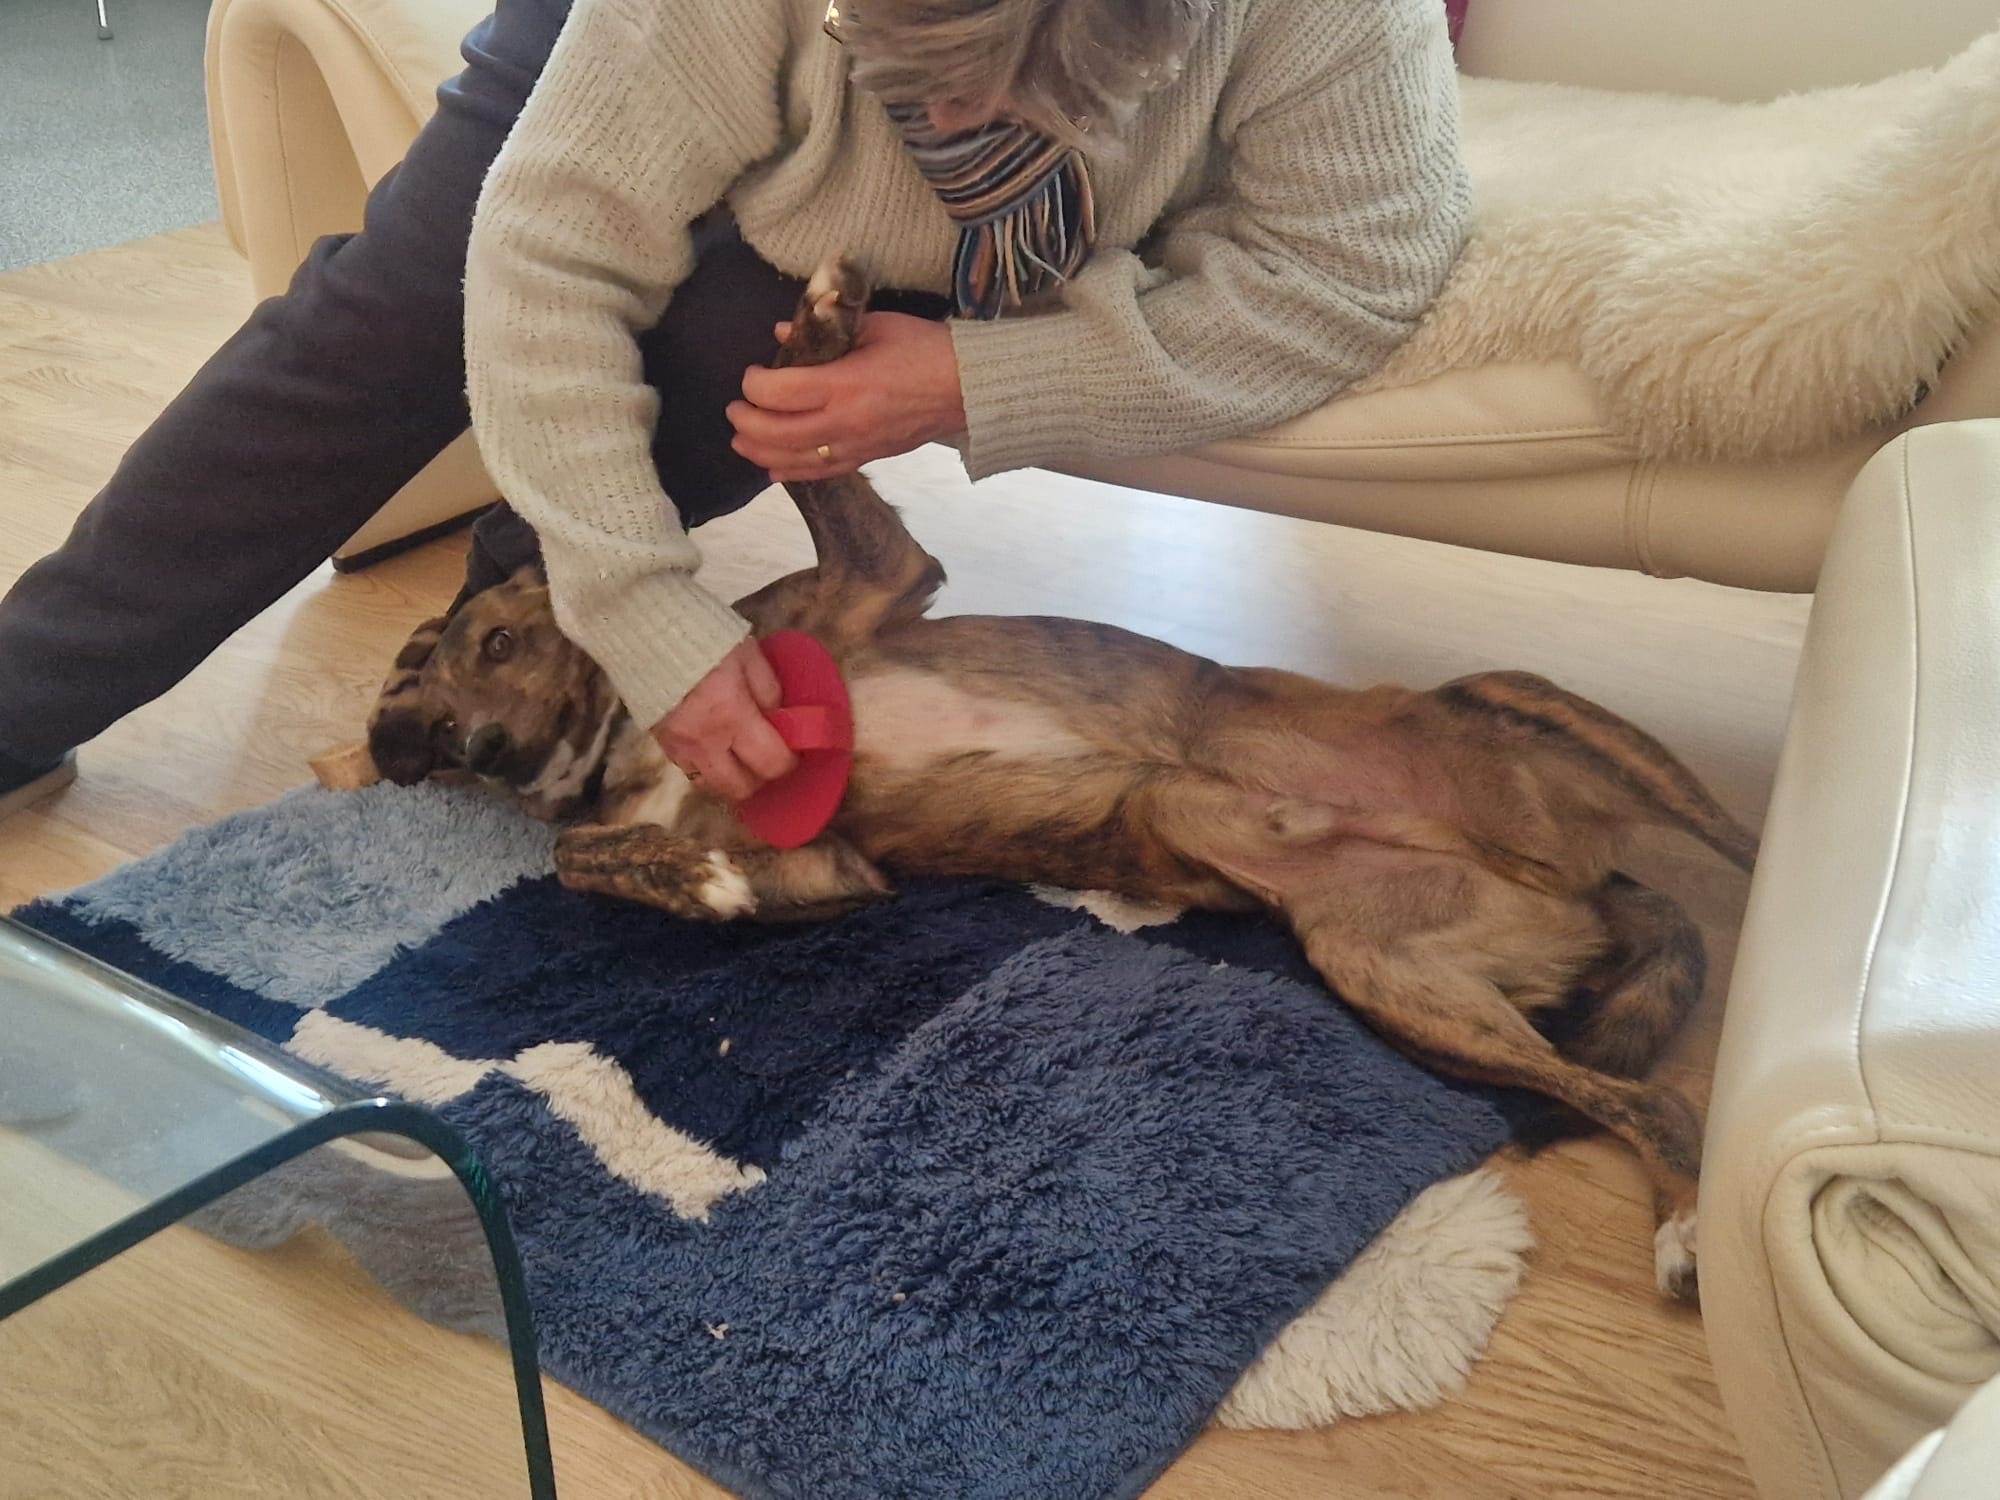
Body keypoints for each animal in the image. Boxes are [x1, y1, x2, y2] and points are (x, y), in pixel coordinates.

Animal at [362, 258, 1756, 1300]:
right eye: (425, 724)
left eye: (495, 645)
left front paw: (819, 333)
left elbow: (817, 468)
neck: (638, 738)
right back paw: (1687, 1218)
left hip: (1528, 716)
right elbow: (586, 856)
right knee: (1647, 1102)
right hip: (1394, 980)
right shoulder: (826, 867)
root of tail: (1585, 885)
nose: (470, 753)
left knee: (1729, 874)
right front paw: (688, 878)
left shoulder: (875, 579)